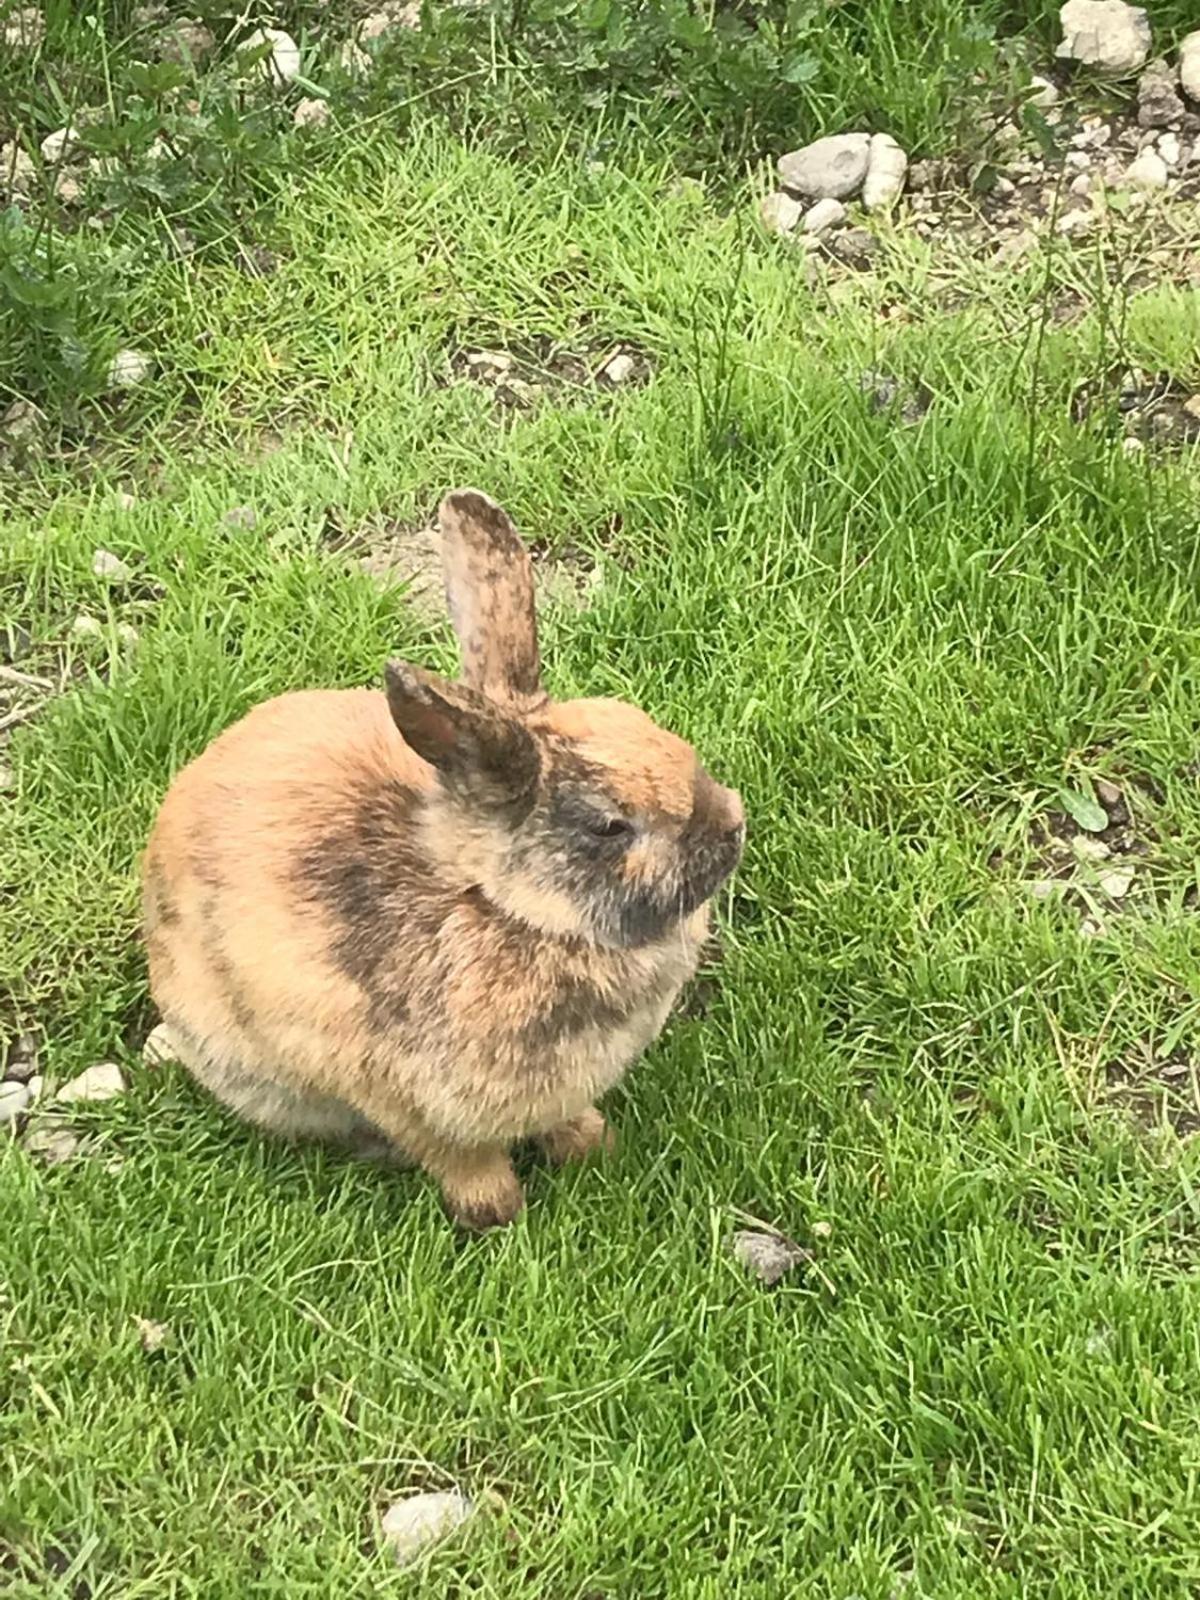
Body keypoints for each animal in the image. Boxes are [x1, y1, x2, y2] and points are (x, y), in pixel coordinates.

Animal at [140, 492, 742, 1228]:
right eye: (610, 825)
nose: (733, 825)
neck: (504, 908)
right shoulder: (399, 1096)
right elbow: (461, 1159)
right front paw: (498, 1213)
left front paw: (592, 1146)